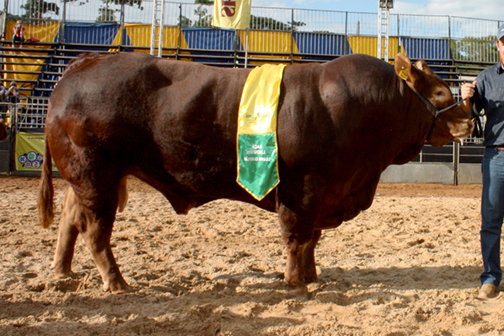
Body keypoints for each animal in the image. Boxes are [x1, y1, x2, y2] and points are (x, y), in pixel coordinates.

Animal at [38, 51, 472, 296]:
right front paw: (296, 284)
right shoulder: (302, 189)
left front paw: (312, 277)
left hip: (88, 177)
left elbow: (312, 240)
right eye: (440, 95)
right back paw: (116, 284)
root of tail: (82, 63)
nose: (469, 118)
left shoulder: (323, 194)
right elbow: (297, 238)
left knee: (70, 221)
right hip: (96, 174)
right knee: (95, 232)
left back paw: (62, 274)